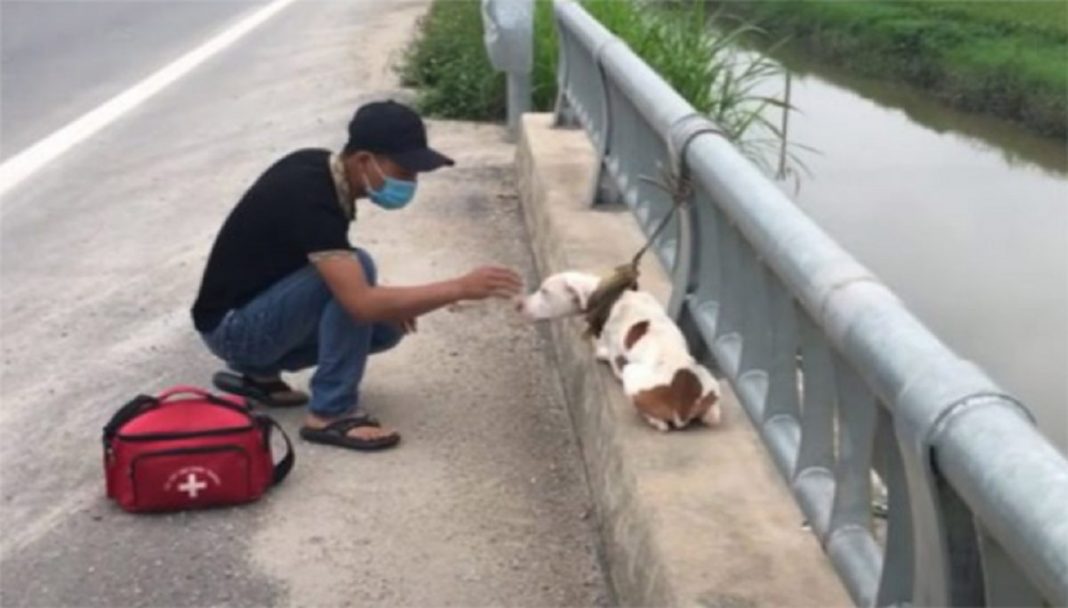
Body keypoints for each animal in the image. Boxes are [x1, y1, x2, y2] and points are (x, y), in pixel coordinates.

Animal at [519, 270, 721, 431]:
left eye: (545, 291)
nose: (519, 305)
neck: (608, 294)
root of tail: (683, 404)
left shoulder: (616, 354)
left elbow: (612, 359)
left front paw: (602, 354)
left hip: (631, 373)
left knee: (661, 424)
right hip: (710, 383)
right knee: (712, 416)